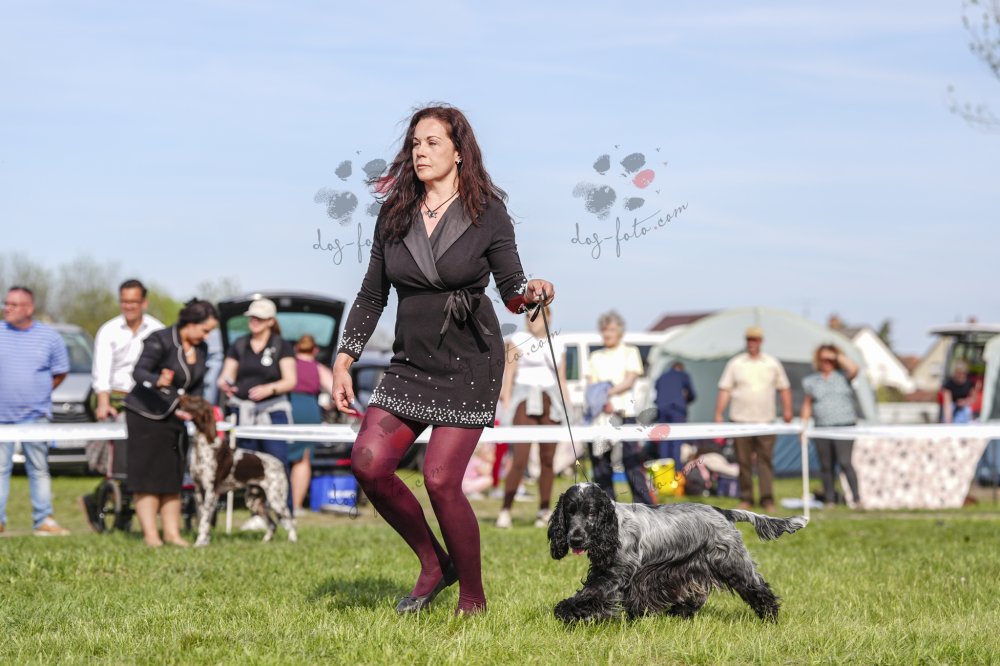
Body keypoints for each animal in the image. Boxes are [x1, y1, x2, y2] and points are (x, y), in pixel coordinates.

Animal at [180, 395, 297, 547]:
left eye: (197, 400)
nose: (180, 396)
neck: (203, 445)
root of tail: (280, 464)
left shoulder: (212, 491)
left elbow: (205, 520)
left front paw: (200, 543)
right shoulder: (199, 490)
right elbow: (203, 519)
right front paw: (205, 541)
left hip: (276, 499)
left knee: (290, 520)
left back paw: (293, 540)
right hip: (254, 501)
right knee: (272, 524)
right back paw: (264, 542)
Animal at [547, 483, 807, 623]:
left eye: (591, 513)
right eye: (569, 512)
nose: (575, 538)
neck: (615, 526)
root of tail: (722, 511)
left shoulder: (614, 576)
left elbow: (591, 595)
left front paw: (566, 610)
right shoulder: (605, 571)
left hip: (732, 562)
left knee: (757, 588)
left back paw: (770, 616)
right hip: (696, 567)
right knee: (698, 594)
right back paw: (680, 612)